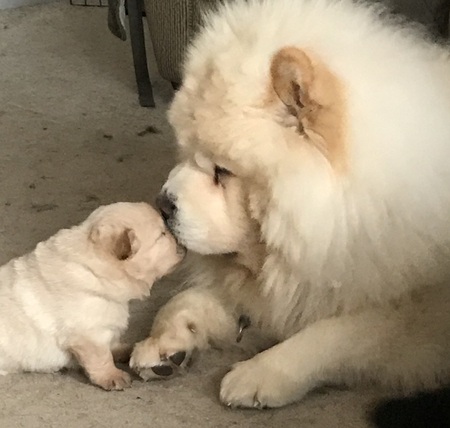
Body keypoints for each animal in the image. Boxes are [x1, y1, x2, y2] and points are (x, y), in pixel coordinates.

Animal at [0, 202, 185, 390]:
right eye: (162, 235)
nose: (182, 242)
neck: (97, 270)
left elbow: (112, 342)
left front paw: (123, 350)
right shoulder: (89, 335)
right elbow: (101, 358)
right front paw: (113, 377)